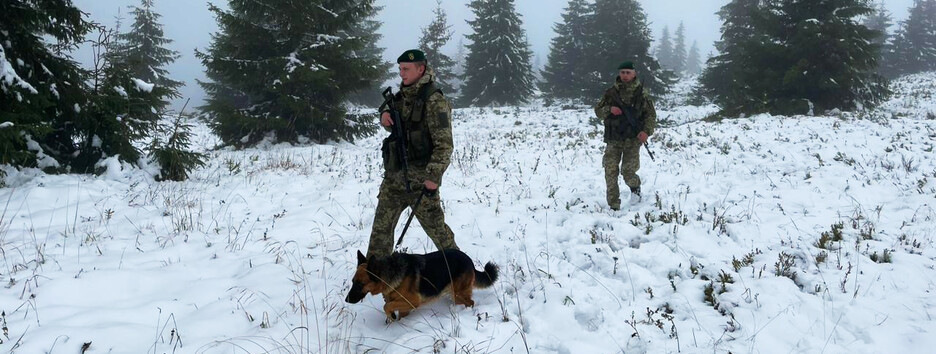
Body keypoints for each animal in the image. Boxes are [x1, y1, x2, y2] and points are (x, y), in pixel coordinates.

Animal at [346, 249, 498, 320]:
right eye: (353, 282)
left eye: (360, 284)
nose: (346, 300)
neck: (391, 272)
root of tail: (469, 260)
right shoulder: (404, 307)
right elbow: (392, 308)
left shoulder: (412, 302)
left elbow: (386, 306)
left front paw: (391, 316)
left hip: (458, 294)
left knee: (471, 302)